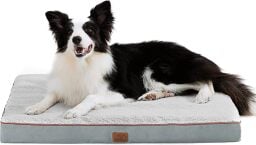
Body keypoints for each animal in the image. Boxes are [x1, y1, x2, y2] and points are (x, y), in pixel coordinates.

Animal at [25, 0, 254, 118]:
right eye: (69, 32)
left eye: (89, 30)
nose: (76, 39)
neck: (83, 63)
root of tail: (190, 52)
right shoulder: (64, 86)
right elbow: (50, 95)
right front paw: (35, 106)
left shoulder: (123, 92)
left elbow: (90, 97)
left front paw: (75, 110)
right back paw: (152, 95)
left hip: (157, 70)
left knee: (207, 81)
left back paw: (202, 96)